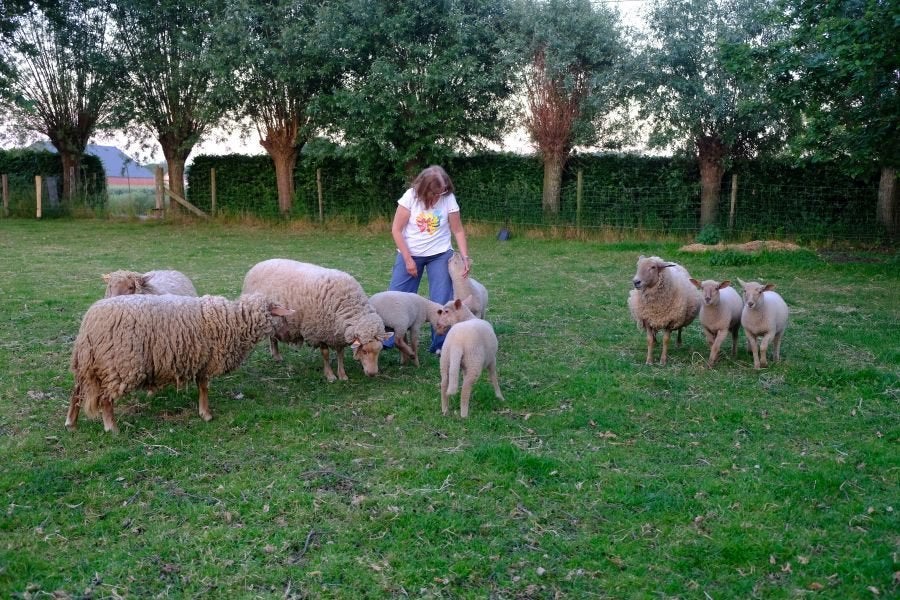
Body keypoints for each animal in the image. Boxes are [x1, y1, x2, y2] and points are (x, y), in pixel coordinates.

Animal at [66, 293, 293, 433]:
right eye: (277, 310)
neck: (234, 321)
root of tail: (90, 324)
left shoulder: (200, 361)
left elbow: (201, 387)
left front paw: (203, 412)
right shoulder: (205, 360)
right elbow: (204, 388)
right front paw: (206, 414)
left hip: (88, 364)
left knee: (76, 392)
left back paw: (71, 423)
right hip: (121, 364)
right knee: (105, 399)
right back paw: (111, 428)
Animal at [241, 258, 392, 382]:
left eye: (379, 350)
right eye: (365, 351)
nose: (373, 374)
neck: (346, 304)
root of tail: (259, 264)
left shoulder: (337, 333)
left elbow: (340, 354)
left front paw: (342, 375)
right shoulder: (320, 332)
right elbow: (325, 354)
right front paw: (330, 375)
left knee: (272, 337)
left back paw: (275, 355)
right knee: (272, 338)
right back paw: (277, 356)